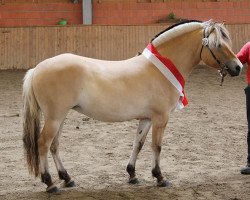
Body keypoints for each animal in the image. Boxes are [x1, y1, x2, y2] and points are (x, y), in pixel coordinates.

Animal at [23, 20, 242, 192]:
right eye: (218, 44)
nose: (238, 67)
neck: (159, 69)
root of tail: (37, 69)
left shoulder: (146, 118)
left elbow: (139, 144)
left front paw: (132, 175)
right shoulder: (161, 118)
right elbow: (157, 146)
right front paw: (160, 177)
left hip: (60, 117)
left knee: (54, 145)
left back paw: (67, 179)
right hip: (54, 118)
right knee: (43, 144)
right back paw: (50, 183)